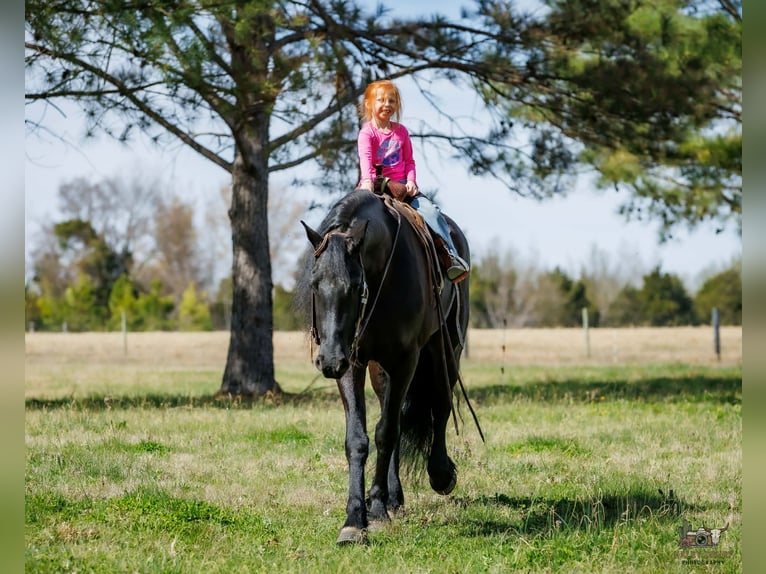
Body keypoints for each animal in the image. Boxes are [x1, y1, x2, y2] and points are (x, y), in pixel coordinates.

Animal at [295, 188, 473, 545]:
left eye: (355, 286)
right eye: (315, 284)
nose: (328, 359)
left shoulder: (405, 359)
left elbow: (386, 432)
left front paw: (375, 511)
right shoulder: (353, 362)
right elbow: (359, 438)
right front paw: (355, 519)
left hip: (446, 347)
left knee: (440, 404)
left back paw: (440, 474)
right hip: (380, 368)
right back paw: (395, 499)